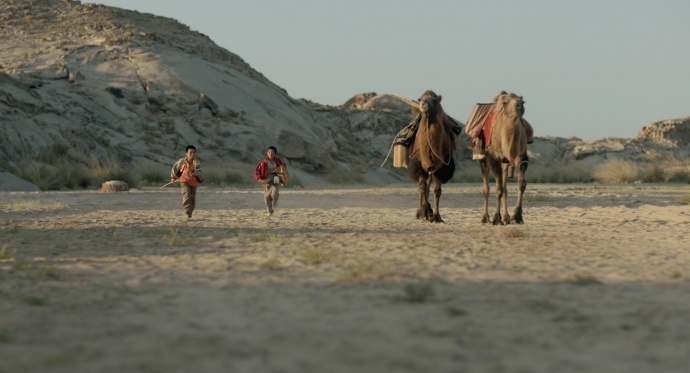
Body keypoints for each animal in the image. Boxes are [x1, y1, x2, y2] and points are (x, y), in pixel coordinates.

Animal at [404, 91, 456, 221]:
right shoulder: (419, 165)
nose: (424, 104)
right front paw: (424, 213)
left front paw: (437, 216)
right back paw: (422, 211)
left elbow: (437, 191)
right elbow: (423, 188)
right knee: (423, 188)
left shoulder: (441, 168)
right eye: (421, 99)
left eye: (435, 101)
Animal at [478, 91, 528, 224]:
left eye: (523, 102)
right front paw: (496, 218)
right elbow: (498, 189)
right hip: (482, 158)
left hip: (505, 164)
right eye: (505, 103)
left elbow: (521, 184)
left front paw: (517, 216)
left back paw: (506, 217)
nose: (518, 106)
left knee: (505, 187)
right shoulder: (493, 159)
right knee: (486, 187)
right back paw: (485, 218)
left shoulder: (521, 156)